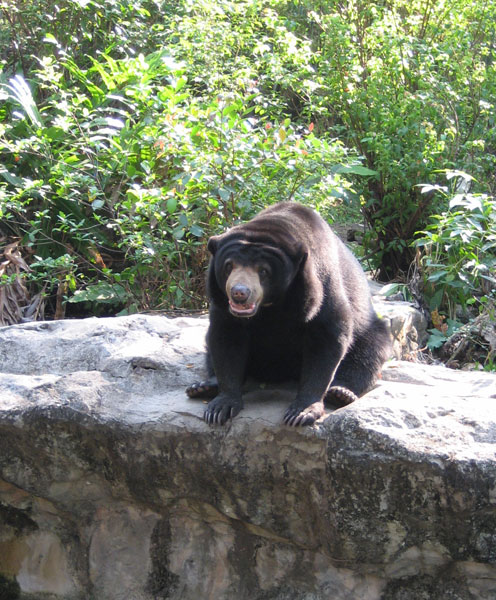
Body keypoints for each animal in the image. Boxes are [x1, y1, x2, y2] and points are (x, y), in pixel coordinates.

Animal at [186, 203, 392, 426]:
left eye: (263, 271)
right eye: (229, 265)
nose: (239, 292)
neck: (269, 306)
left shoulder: (320, 288)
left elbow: (327, 337)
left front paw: (301, 412)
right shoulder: (223, 305)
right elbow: (226, 339)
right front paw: (220, 407)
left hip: (369, 330)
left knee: (368, 352)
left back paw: (341, 392)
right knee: (209, 349)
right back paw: (202, 387)